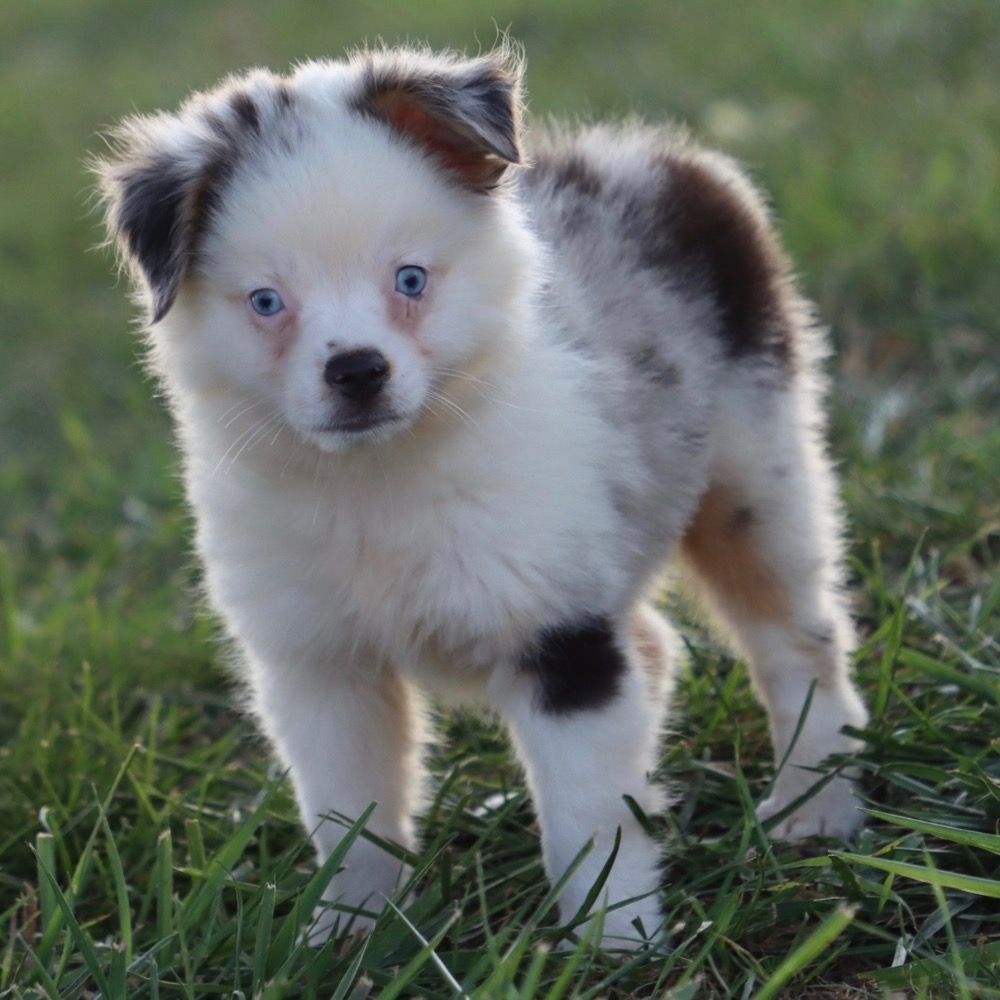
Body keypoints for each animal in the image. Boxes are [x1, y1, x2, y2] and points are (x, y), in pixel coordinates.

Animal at [97, 47, 872, 948]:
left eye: (410, 279)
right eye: (266, 303)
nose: (356, 370)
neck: (377, 480)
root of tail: (661, 158)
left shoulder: (559, 628)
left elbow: (586, 809)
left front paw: (614, 938)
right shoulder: (317, 661)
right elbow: (349, 811)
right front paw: (351, 931)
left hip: (756, 470)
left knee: (796, 636)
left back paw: (817, 800)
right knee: (656, 644)